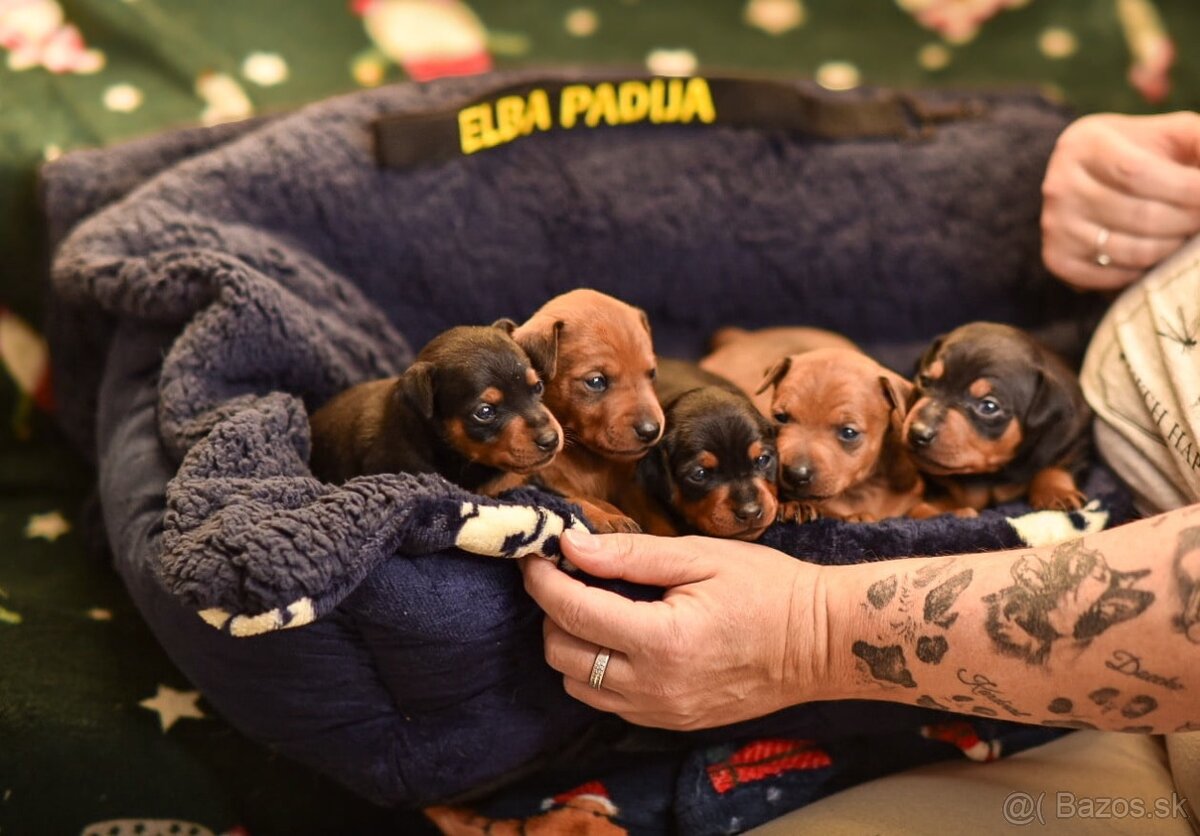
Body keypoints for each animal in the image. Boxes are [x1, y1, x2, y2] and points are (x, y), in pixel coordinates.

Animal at [508, 290, 667, 532]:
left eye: (652, 374)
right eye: (596, 381)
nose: (651, 431)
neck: (588, 460)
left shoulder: (629, 488)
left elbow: (653, 513)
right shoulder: (552, 481)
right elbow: (583, 502)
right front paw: (609, 517)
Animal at [902, 321, 1094, 510]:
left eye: (989, 406)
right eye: (925, 380)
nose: (918, 433)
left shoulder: (1073, 438)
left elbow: (1058, 464)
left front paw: (1056, 493)